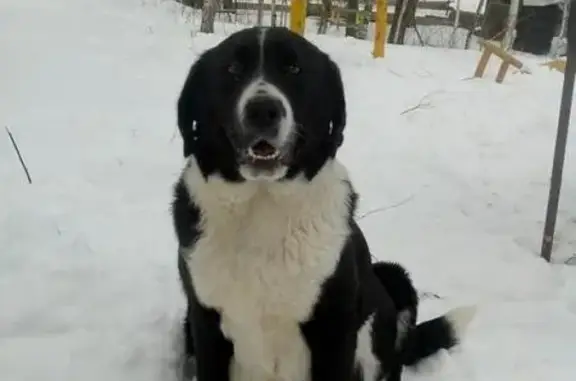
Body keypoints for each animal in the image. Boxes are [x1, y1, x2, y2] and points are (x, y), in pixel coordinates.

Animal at [170, 26, 472, 380]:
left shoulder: (333, 330)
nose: (262, 110)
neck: (263, 205)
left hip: (392, 280)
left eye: (293, 68)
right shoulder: (205, 324)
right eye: (233, 69)